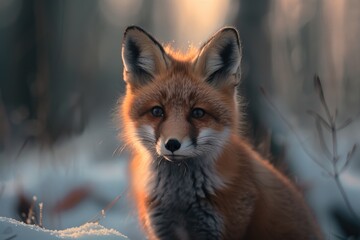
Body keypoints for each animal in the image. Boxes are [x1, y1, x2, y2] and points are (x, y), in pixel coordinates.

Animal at [119, 25, 324, 239]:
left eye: (198, 113)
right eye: (157, 111)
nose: (172, 144)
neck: (180, 200)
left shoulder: (225, 227)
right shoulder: (163, 230)